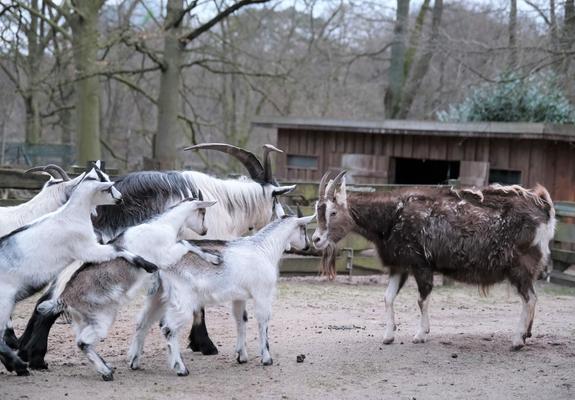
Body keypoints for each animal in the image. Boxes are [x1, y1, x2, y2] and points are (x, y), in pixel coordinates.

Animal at [0, 168, 158, 376]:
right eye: (107, 187)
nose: (120, 198)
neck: (70, 216)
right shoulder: (88, 249)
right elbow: (118, 249)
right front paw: (148, 265)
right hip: (4, 301)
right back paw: (19, 365)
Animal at [37, 197, 218, 382]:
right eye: (203, 212)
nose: (205, 230)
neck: (164, 225)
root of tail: (64, 298)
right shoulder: (167, 256)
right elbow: (185, 243)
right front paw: (214, 258)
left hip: (82, 321)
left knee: (82, 341)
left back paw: (107, 367)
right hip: (101, 319)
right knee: (83, 342)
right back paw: (106, 372)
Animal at [127, 214, 316, 376]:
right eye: (303, 228)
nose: (307, 246)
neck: (264, 248)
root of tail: (163, 262)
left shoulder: (239, 297)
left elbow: (241, 320)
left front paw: (241, 356)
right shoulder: (263, 293)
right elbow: (263, 322)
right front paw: (266, 359)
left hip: (157, 296)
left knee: (142, 323)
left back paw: (134, 362)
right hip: (182, 299)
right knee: (168, 329)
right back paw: (180, 368)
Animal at [312, 170, 556, 348]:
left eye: (333, 212)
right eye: (318, 211)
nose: (316, 239)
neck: (393, 216)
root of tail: (545, 209)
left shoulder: (421, 264)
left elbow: (422, 299)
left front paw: (421, 334)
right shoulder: (400, 265)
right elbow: (388, 298)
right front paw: (389, 336)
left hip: (521, 265)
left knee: (529, 298)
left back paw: (517, 340)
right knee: (532, 298)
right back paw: (527, 334)